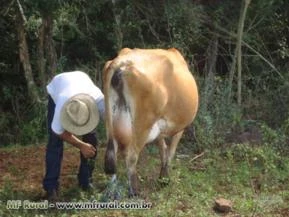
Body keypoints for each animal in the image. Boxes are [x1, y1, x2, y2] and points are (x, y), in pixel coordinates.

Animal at [102, 48, 198, 197]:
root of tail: (121, 63)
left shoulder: (159, 129)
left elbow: (162, 149)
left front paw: (163, 178)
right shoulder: (179, 128)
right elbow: (170, 152)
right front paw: (165, 178)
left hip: (110, 120)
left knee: (113, 151)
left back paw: (112, 190)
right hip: (143, 125)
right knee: (131, 156)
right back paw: (135, 191)